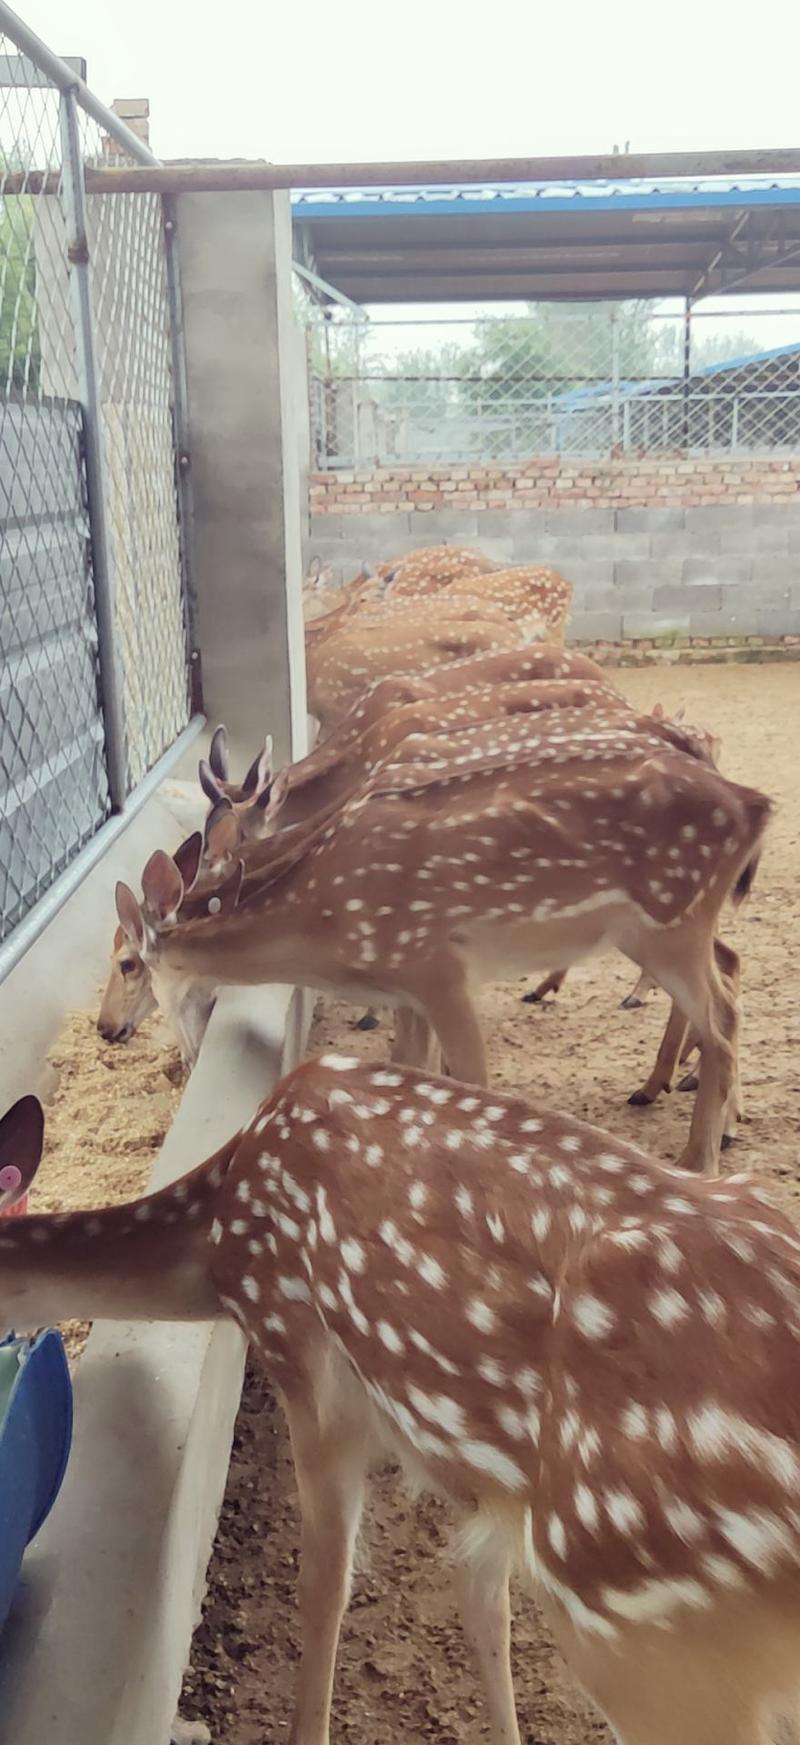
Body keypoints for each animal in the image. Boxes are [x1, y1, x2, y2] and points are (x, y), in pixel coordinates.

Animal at [4, 1057, 800, 1745]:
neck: (213, 1246)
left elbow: (324, 1584)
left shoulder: (304, 1360)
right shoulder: (479, 1472)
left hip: (645, 1633)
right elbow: (481, 1600)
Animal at [115, 709, 772, 1173]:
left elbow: (473, 1082)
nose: (184, 1064)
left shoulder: (435, 967)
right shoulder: (406, 988)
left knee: (722, 1020)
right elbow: (409, 1073)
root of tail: (756, 805)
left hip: (673, 920)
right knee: (727, 991)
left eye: (129, 963)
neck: (330, 926)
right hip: (660, 929)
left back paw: (698, 1155)